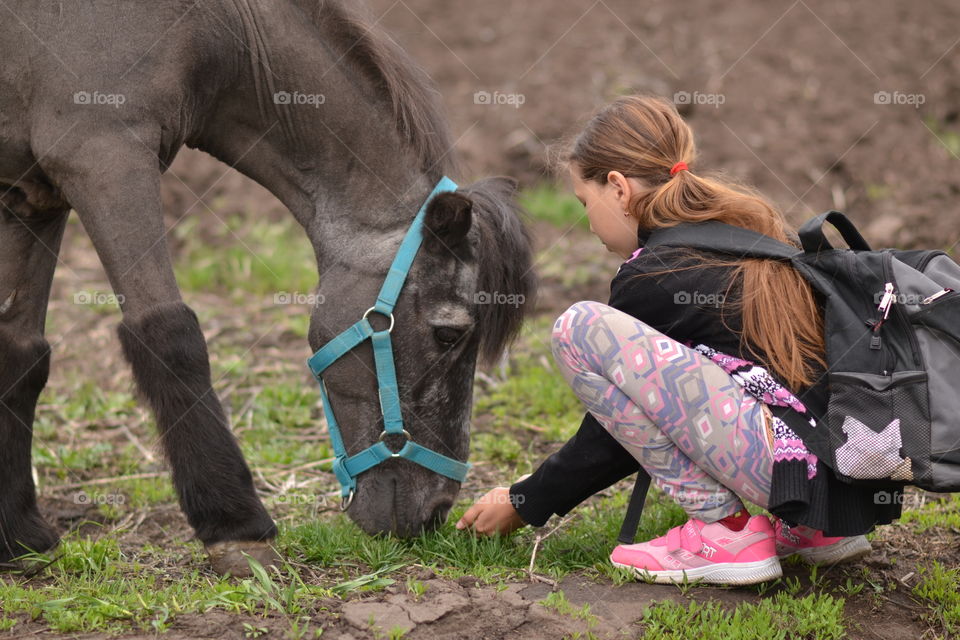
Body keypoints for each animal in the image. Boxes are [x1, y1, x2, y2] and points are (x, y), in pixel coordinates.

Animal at [0, 0, 535, 575]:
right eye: (448, 334)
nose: (436, 511)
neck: (211, 29)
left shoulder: (32, 196)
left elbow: (21, 356)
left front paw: (18, 535)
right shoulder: (102, 157)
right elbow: (170, 337)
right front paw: (236, 526)